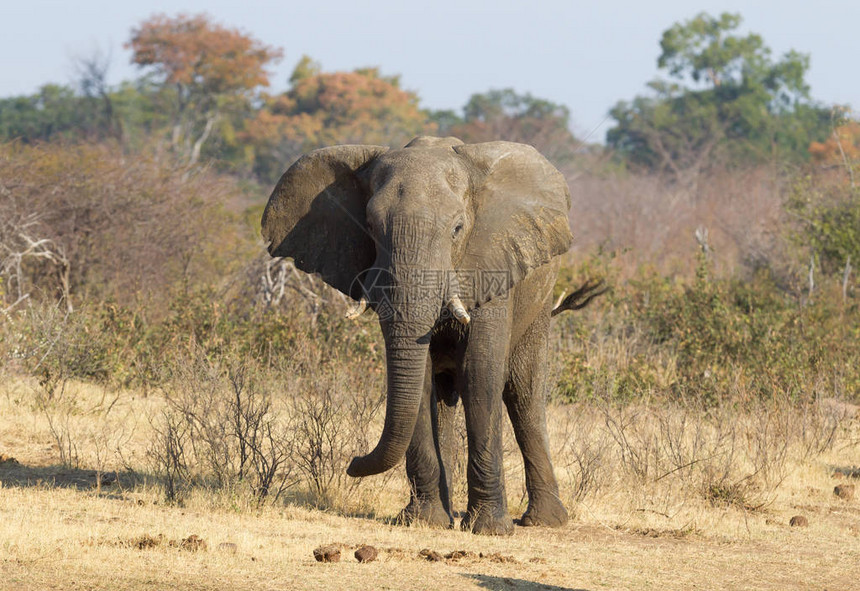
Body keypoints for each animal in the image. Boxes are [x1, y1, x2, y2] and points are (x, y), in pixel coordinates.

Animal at [260, 136, 596, 536]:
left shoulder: (493, 263)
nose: (352, 462)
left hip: (539, 303)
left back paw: (544, 521)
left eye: (457, 228)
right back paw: (449, 516)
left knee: (522, 392)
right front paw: (423, 522)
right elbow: (417, 379)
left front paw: (490, 529)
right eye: (369, 226)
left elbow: (480, 376)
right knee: (445, 394)